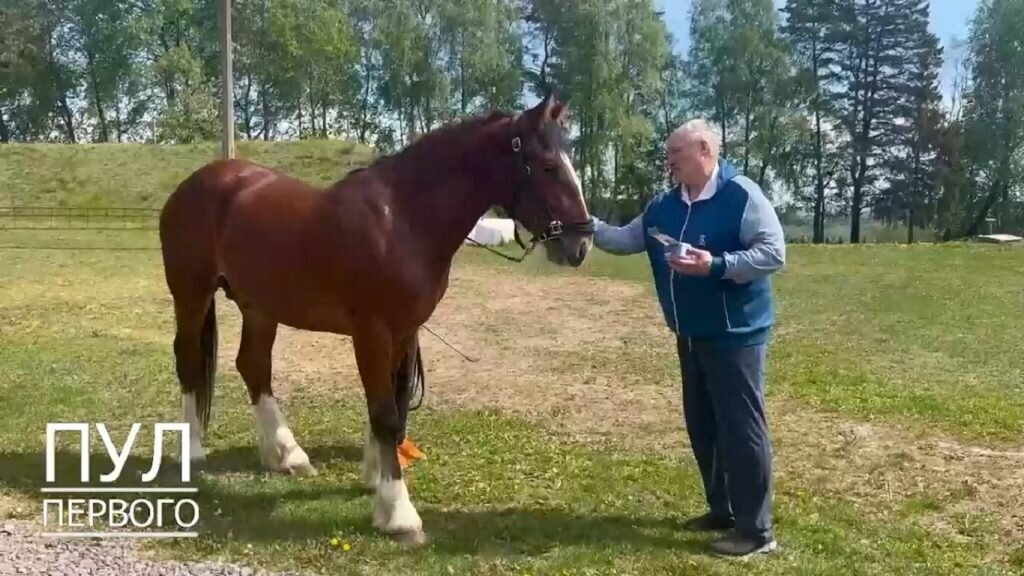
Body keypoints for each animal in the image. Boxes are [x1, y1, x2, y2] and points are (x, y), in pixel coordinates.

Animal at [157, 94, 593, 541]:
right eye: (548, 166)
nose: (581, 243)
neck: (401, 220)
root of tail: (197, 183)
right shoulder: (371, 332)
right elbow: (383, 411)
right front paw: (399, 512)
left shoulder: (404, 332)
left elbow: (393, 405)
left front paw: (376, 478)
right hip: (191, 295)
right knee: (189, 362)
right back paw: (192, 451)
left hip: (259, 306)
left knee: (254, 366)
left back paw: (286, 454)